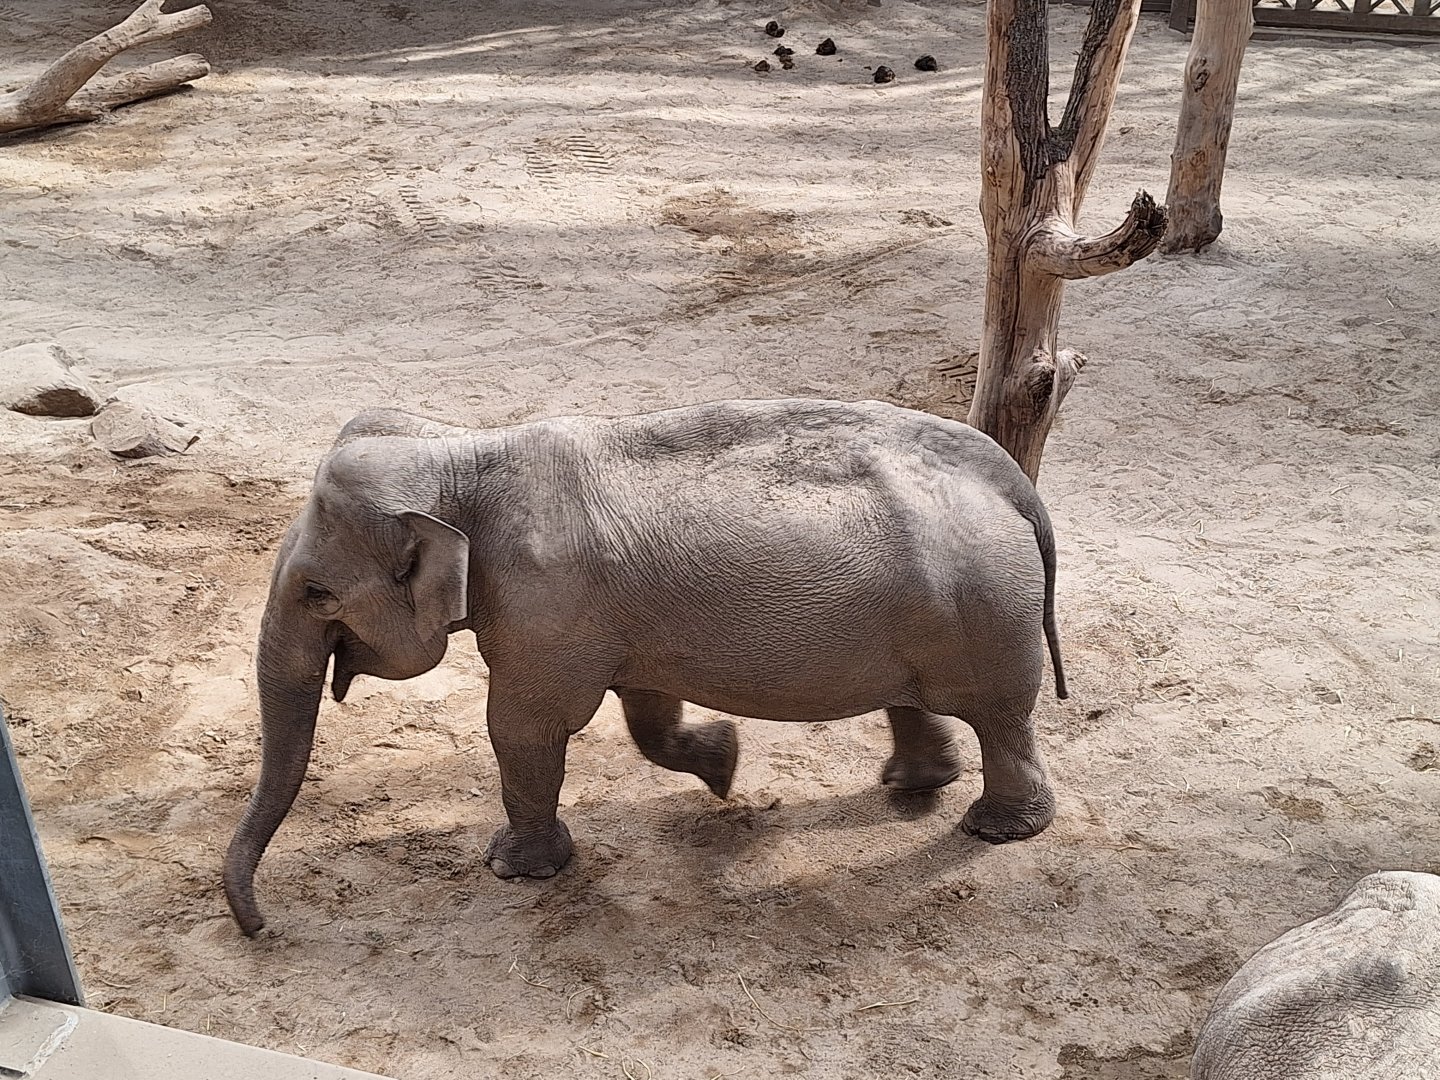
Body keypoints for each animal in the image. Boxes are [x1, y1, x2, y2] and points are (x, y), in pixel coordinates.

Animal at [222, 397, 1068, 935]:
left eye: (316, 592)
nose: (260, 930)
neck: (462, 452)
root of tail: (1009, 478)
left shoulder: (544, 610)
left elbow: (524, 727)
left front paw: (511, 869)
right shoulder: (617, 619)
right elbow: (645, 709)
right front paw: (724, 765)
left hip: (984, 610)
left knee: (1001, 715)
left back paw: (997, 829)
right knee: (916, 698)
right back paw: (913, 785)